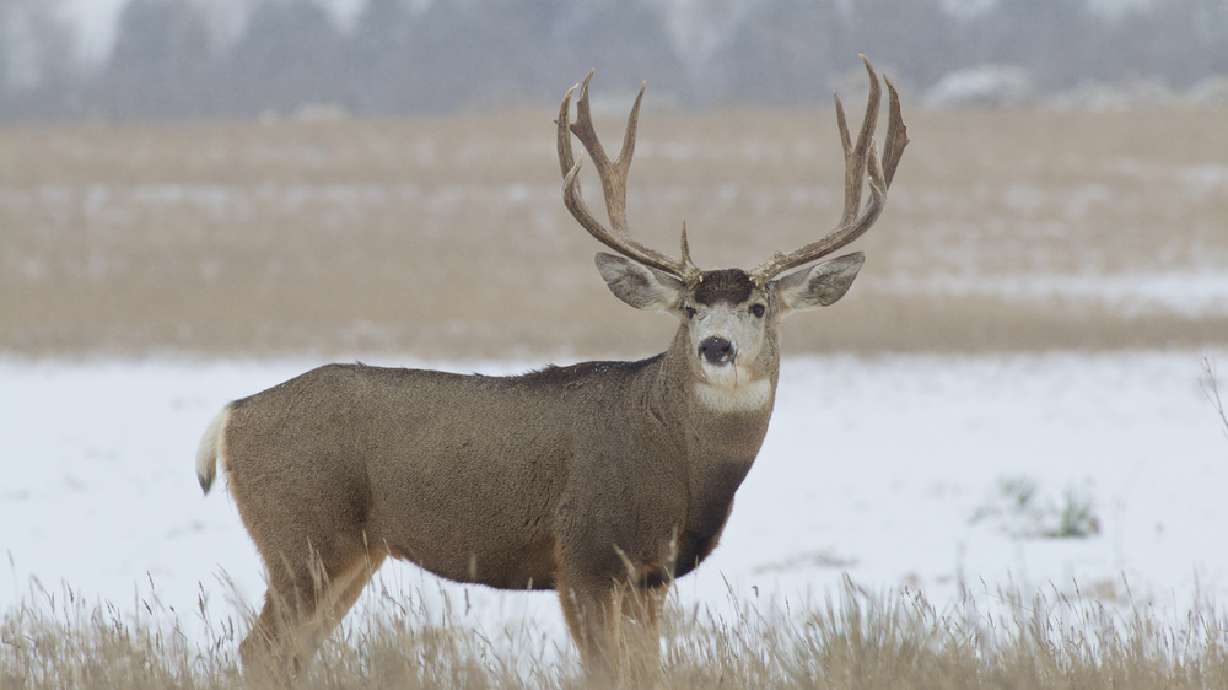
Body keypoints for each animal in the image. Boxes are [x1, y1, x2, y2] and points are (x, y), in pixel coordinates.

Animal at [194, 55, 907, 678]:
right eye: (689, 308)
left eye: (759, 306)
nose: (716, 348)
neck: (675, 461)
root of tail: (233, 414)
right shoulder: (584, 557)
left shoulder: (649, 577)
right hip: (304, 537)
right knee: (258, 651)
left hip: (350, 555)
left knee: (286, 654)